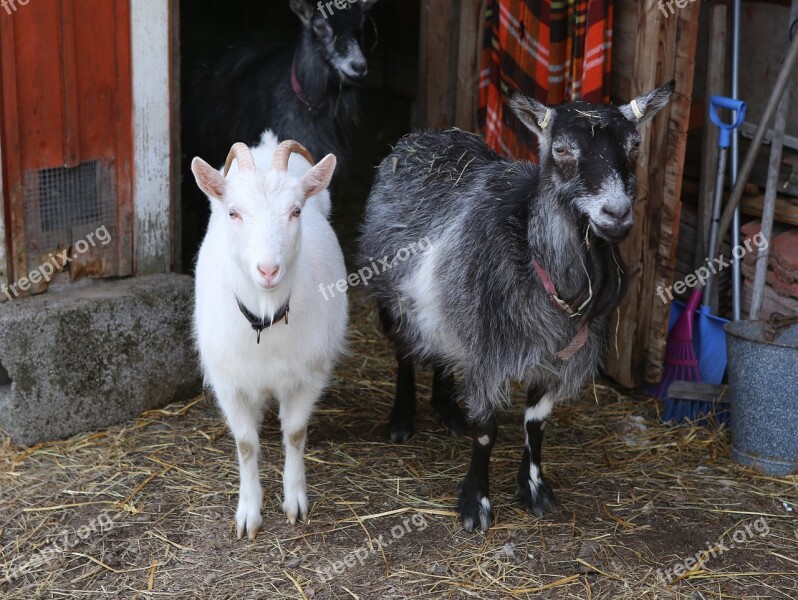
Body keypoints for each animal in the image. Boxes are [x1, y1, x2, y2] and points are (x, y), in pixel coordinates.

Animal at [192, 130, 348, 540]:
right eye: (233, 212)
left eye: (296, 211)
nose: (268, 270)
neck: (264, 320)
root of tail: (266, 145)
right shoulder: (228, 382)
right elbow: (246, 444)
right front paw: (249, 513)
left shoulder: (309, 375)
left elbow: (294, 434)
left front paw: (295, 501)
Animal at [360, 79, 680, 528]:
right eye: (561, 150)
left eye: (634, 147)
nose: (616, 214)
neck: (536, 261)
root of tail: (426, 136)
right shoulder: (487, 352)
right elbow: (486, 430)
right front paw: (476, 504)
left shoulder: (556, 357)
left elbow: (536, 424)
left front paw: (534, 490)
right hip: (392, 299)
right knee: (405, 353)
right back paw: (402, 420)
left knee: (441, 350)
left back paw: (447, 410)